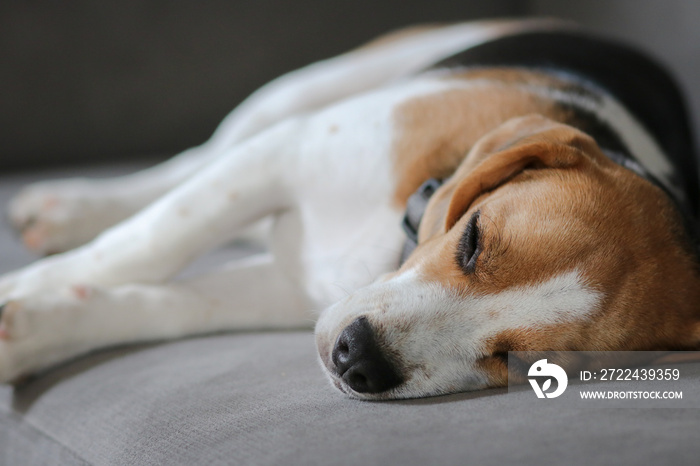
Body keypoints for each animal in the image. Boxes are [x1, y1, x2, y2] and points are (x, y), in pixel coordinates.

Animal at [1, 19, 700, 400]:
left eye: (524, 366)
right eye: (472, 240)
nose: (356, 359)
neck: (388, 243)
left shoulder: (290, 290)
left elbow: (169, 306)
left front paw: (39, 330)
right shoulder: (289, 152)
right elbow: (149, 243)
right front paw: (29, 286)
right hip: (296, 97)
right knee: (191, 163)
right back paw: (65, 207)